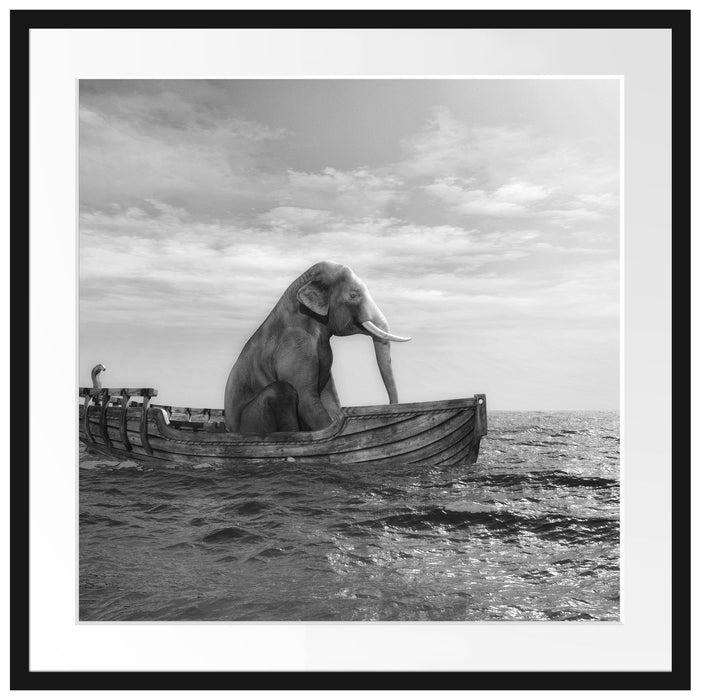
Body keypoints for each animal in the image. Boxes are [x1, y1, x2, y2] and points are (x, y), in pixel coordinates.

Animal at [223, 261, 410, 434]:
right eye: (353, 295)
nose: (391, 406)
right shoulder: (294, 346)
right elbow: (307, 399)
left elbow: (330, 397)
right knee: (282, 390)